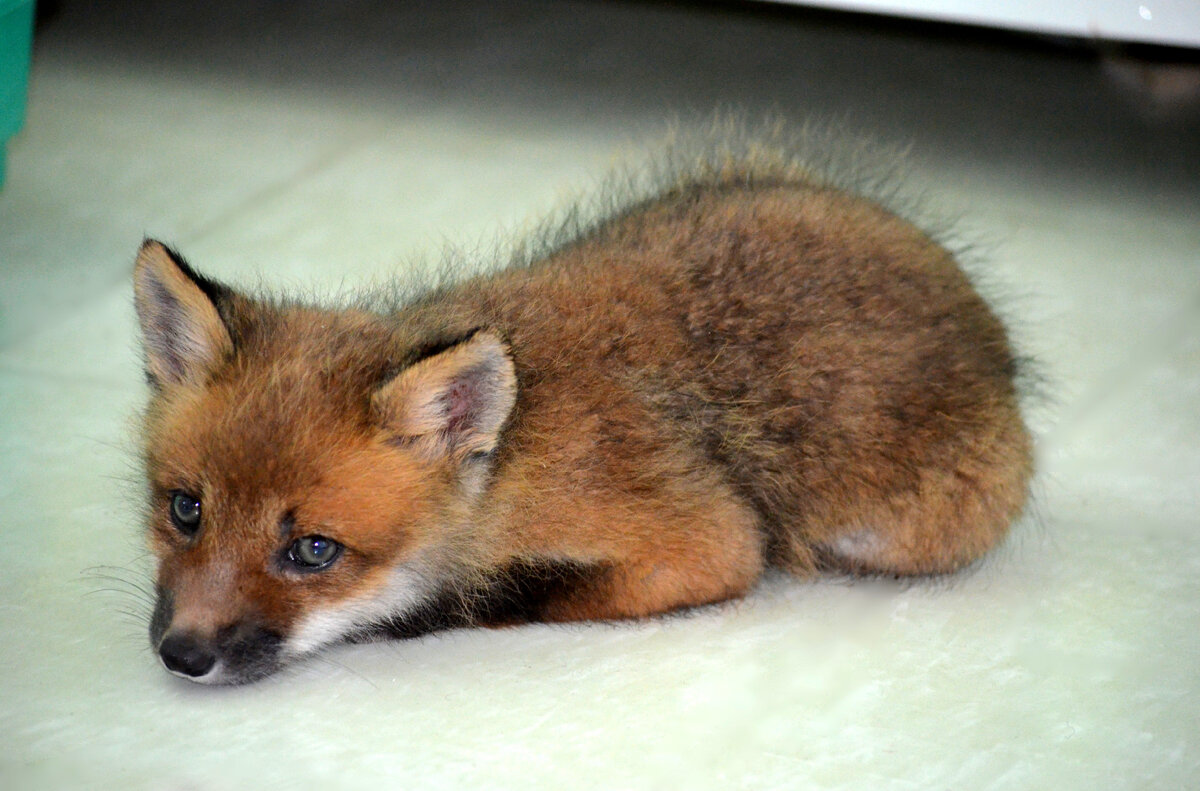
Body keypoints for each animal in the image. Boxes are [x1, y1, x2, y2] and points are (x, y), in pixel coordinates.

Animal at [133, 128, 1032, 681]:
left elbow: (512, 595)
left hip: (905, 533)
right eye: (185, 509)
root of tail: (989, 322)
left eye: (312, 551)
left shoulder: (706, 543)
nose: (182, 655)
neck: (514, 459)